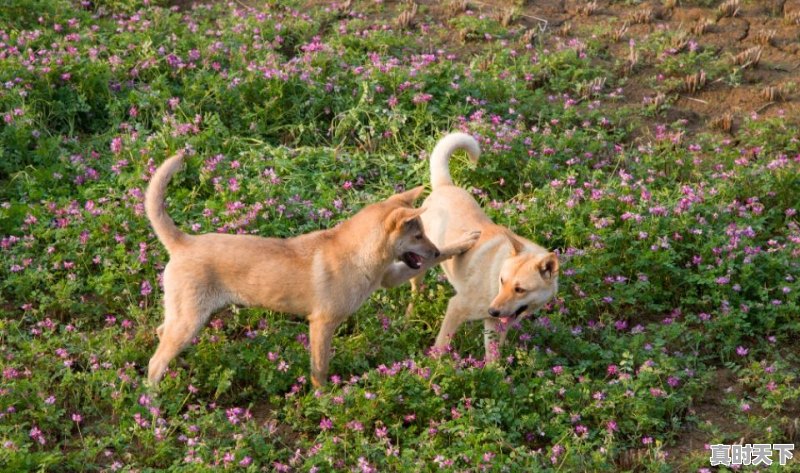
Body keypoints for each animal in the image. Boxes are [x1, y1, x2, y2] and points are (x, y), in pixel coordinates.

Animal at [145, 153, 482, 386]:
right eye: (417, 235)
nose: (434, 250)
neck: (357, 253)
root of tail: (182, 243)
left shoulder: (389, 277)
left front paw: (464, 242)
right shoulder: (322, 324)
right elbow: (320, 369)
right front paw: (325, 400)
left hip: (186, 319)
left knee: (160, 334)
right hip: (189, 320)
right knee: (154, 362)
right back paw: (155, 404)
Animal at [410, 133, 560, 362]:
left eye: (520, 289)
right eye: (502, 281)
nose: (493, 310)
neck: (493, 284)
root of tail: (444, 186)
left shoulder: (496, 326)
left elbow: (493, 360)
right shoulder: (456, 307)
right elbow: (441, 346)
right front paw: (432, 368)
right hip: (420, 265)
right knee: (414, 291)